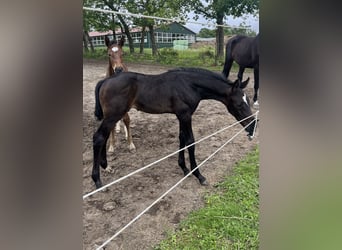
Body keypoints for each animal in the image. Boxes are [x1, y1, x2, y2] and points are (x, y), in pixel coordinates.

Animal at [91, 67, 256, 188]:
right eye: (239, 104)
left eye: (248, 100)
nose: (252, 126)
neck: (189, 85)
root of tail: (105, 81)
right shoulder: (185, 115)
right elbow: (190, 142)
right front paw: (199, 175)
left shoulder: (181, 116)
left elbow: (182, 138)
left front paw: (184, 168)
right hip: (114, 115)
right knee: (98, 137)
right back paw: (97, 180)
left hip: (112, 116)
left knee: (104, 136)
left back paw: (105, 166)